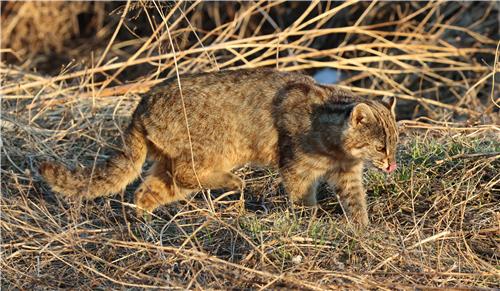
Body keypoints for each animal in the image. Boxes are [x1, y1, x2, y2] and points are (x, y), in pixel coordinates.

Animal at [40, 68, 398, 226]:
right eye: (381, 147)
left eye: (394, 145)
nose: (392, 164)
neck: (337, 148)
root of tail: (141, 104)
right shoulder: (296, 168)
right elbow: (303, 197)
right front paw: (308, 221)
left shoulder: (347, 175)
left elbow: (356, 204)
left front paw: (363, 231)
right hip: (212, 148)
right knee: (185, 174)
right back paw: (230, 181)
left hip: (171, 163)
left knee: (149, 189)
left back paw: (144, 221)